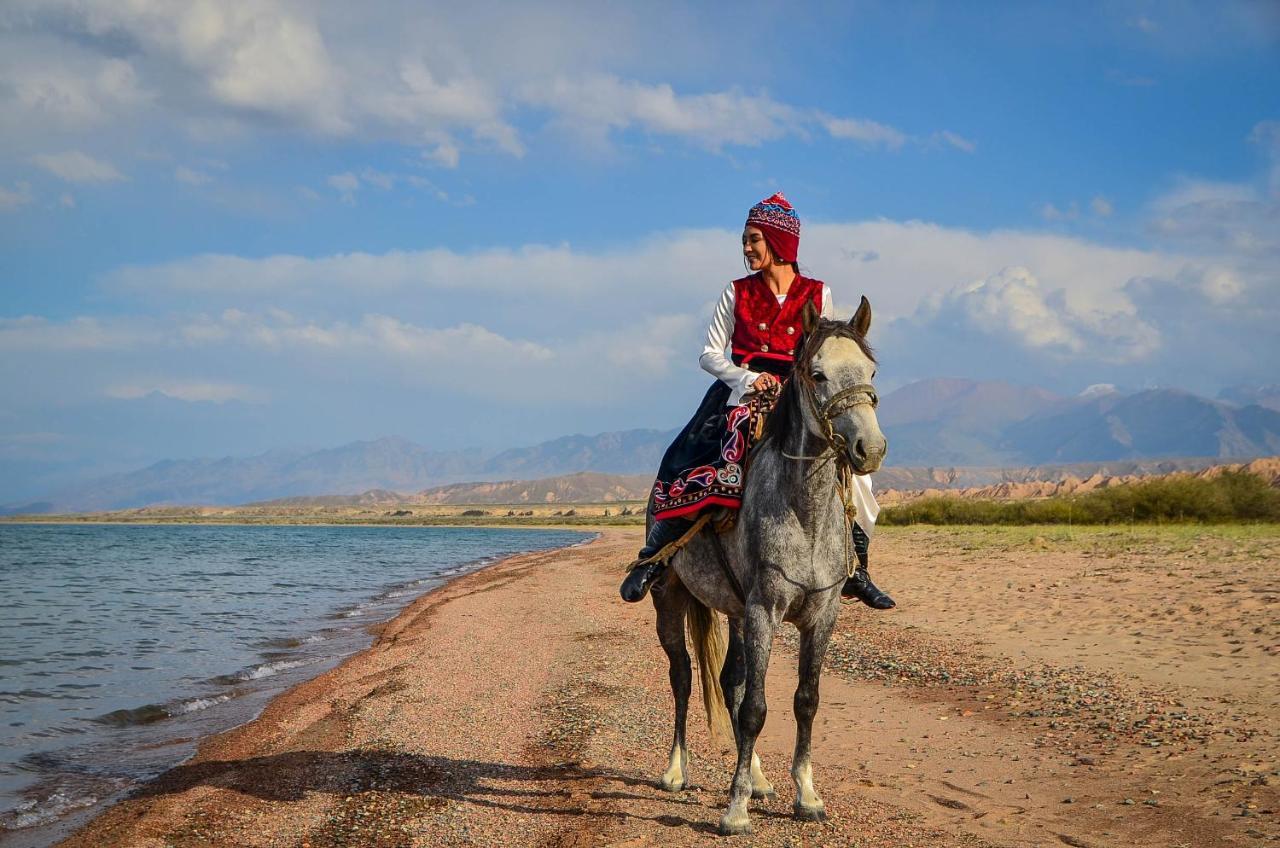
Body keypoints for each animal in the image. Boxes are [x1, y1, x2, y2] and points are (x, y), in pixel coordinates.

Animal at [645, 295, 885, 835]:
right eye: (817, 373)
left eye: (871, 371)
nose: (870, 450)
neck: (804, 513)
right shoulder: (763, 612)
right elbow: (756, 708)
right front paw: (735, 810)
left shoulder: (820, 616)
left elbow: (804, 700)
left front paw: (806, 795)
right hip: (671, 600)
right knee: (684, 676)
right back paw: (676, 770)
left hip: (733, 611)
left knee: (729, 681)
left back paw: (755, 778)